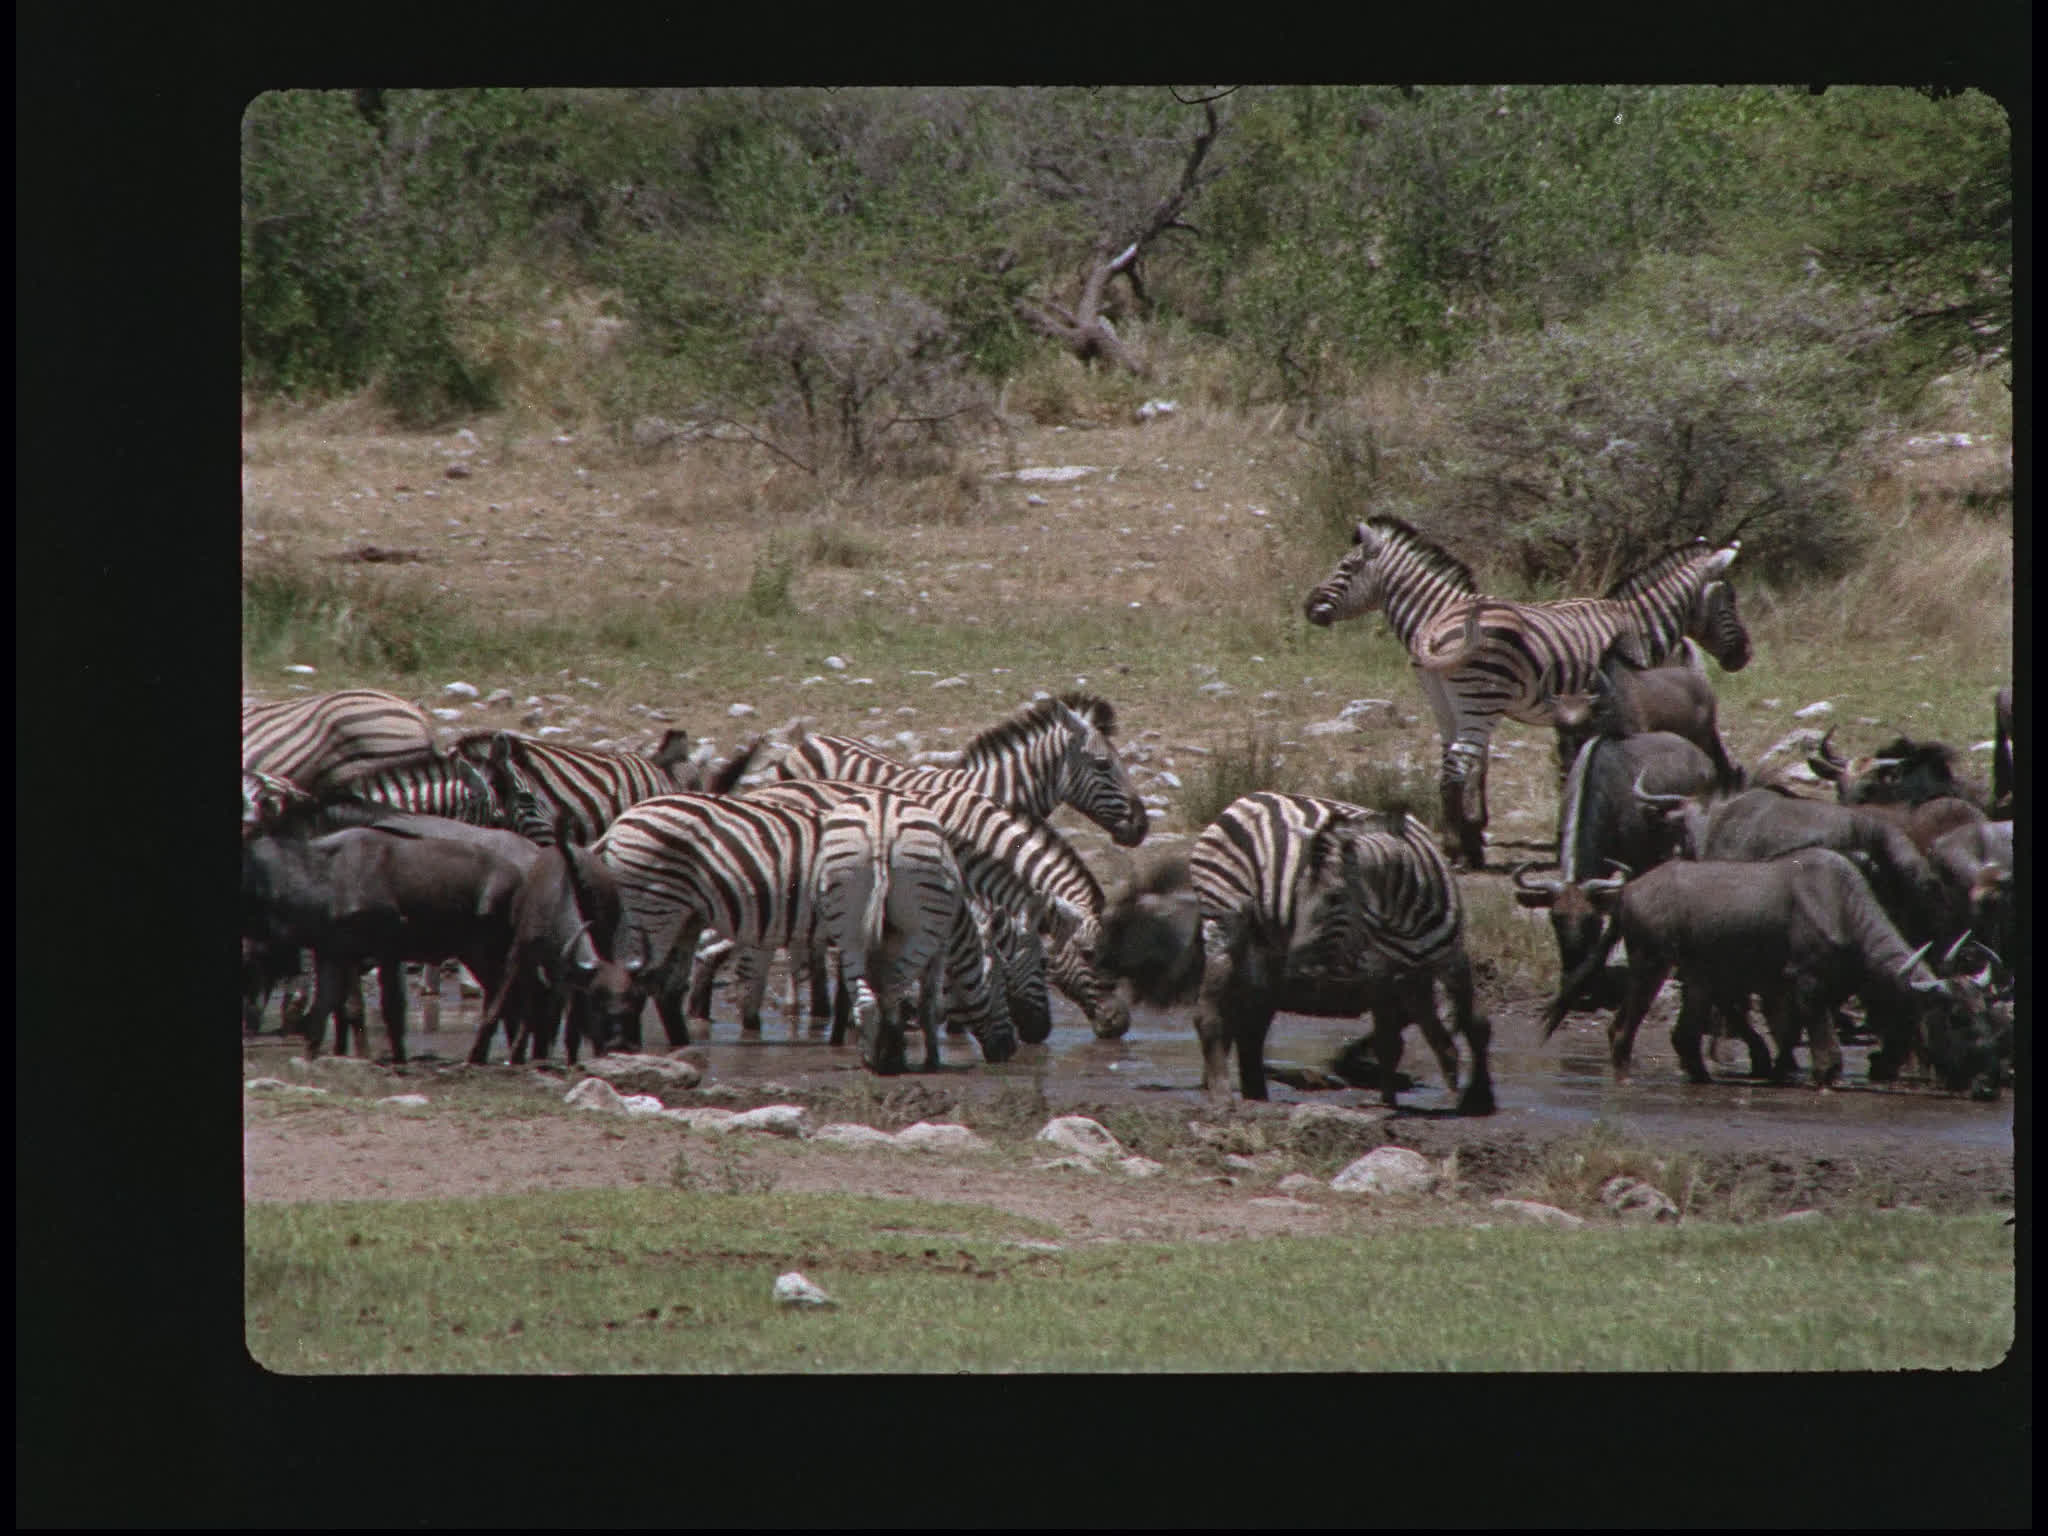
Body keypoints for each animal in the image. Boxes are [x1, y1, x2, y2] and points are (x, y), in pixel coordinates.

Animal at [812, 789, 1016, 1073]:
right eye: (1002, 982)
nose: (1009, 1050)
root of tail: (881, 820)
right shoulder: (940, 947)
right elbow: (927, 1002)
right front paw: (932, 1059)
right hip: (923, 928)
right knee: (891, 991)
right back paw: (892, 1058)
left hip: (847, 922)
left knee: (867, 999)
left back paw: (872, 1059)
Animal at [1303, 519, 1748, 868]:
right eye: (1729, 599)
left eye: (1345, 566)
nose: (1744, 655)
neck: (1639, 624)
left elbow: (1526, 767)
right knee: (1456, 767)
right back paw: (1458, 851)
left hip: (1450, 701)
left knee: (1451, 764)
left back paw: (1457, 848)